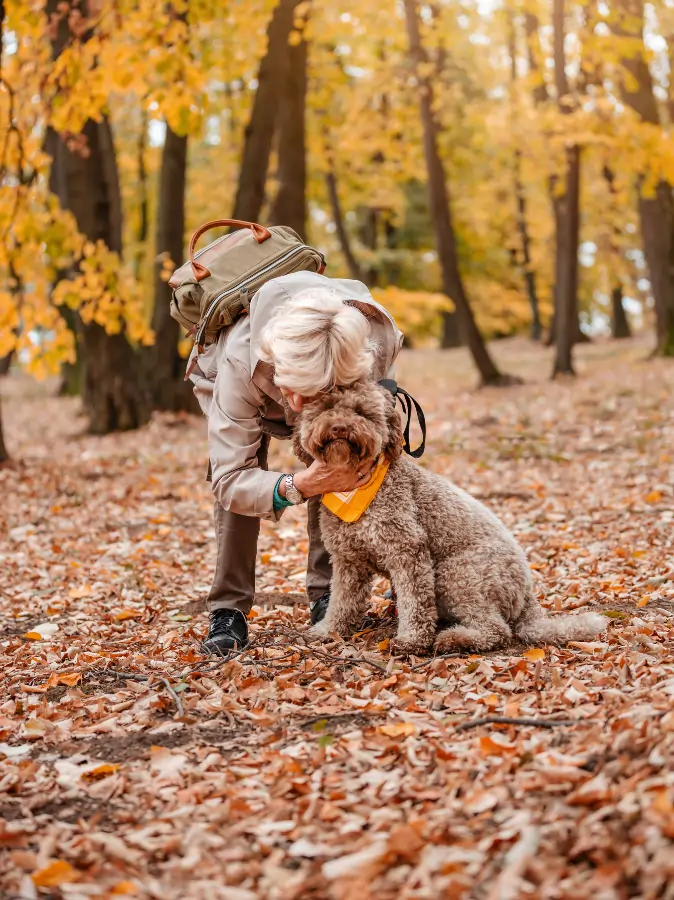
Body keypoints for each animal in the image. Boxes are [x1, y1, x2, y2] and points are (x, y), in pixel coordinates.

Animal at [292, 380, 604, 652]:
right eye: (325, 408)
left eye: (360, 411)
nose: (339, 426)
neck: (356, 490)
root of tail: (529, 595)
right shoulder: (348, 561)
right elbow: (342, 601)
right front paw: (329, 630)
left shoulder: (407, 551)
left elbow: (415, 602)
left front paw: (412, 640)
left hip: (457, 573)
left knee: (497, 630)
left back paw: (454, 639)